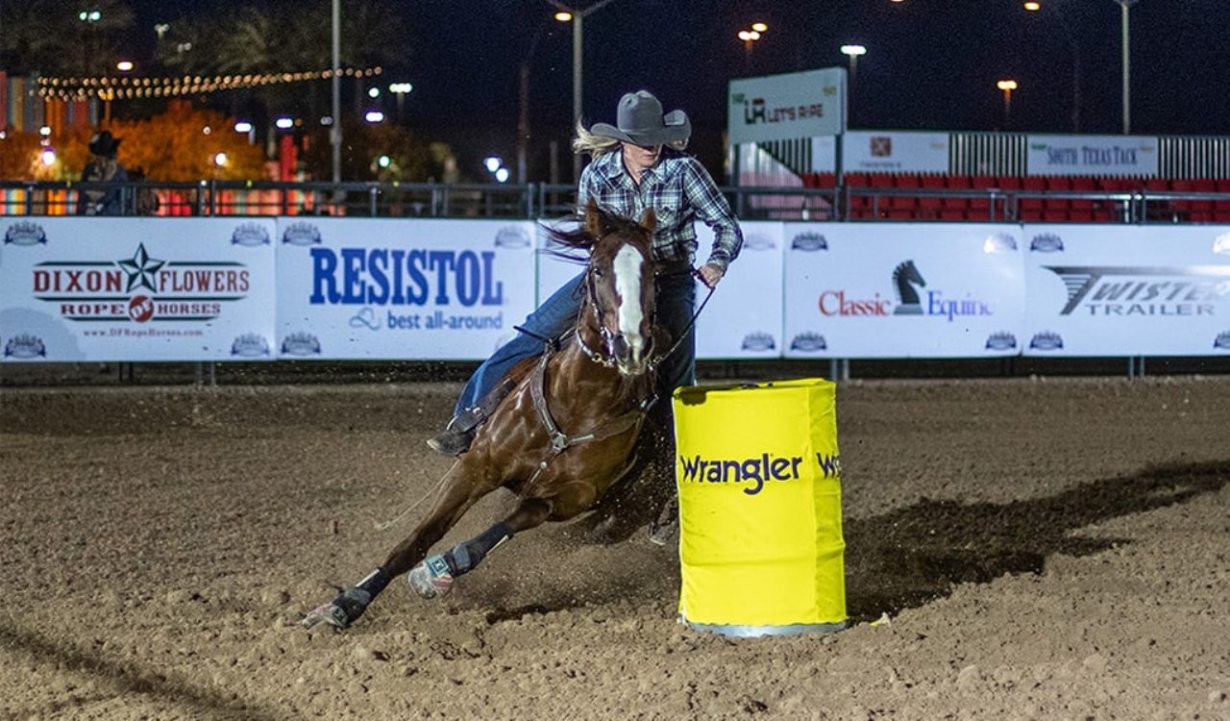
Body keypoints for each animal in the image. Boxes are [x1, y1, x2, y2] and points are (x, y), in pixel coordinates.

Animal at [305, 200, 674, 622]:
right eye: (597, 268)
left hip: (624, 512)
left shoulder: (570, 497)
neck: (577, 402)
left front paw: (440, 569)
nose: (631, 346)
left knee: (579, 537)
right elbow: (419, 538)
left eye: (653, 272)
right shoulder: (477, 465)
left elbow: (507, 526)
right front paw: (347, 602)